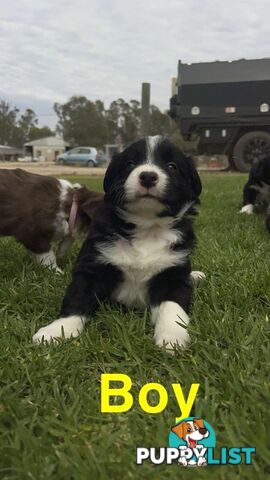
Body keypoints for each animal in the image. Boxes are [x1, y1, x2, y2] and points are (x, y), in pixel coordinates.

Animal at [33, 137, 202, 350]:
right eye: (130, 164)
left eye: (172, 166)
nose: (148, 176)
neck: (146, 227)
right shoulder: (93, 268)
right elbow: (77, 299)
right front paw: (57, 330)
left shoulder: (174, 276)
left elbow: (173, 306)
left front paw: (172, 337)